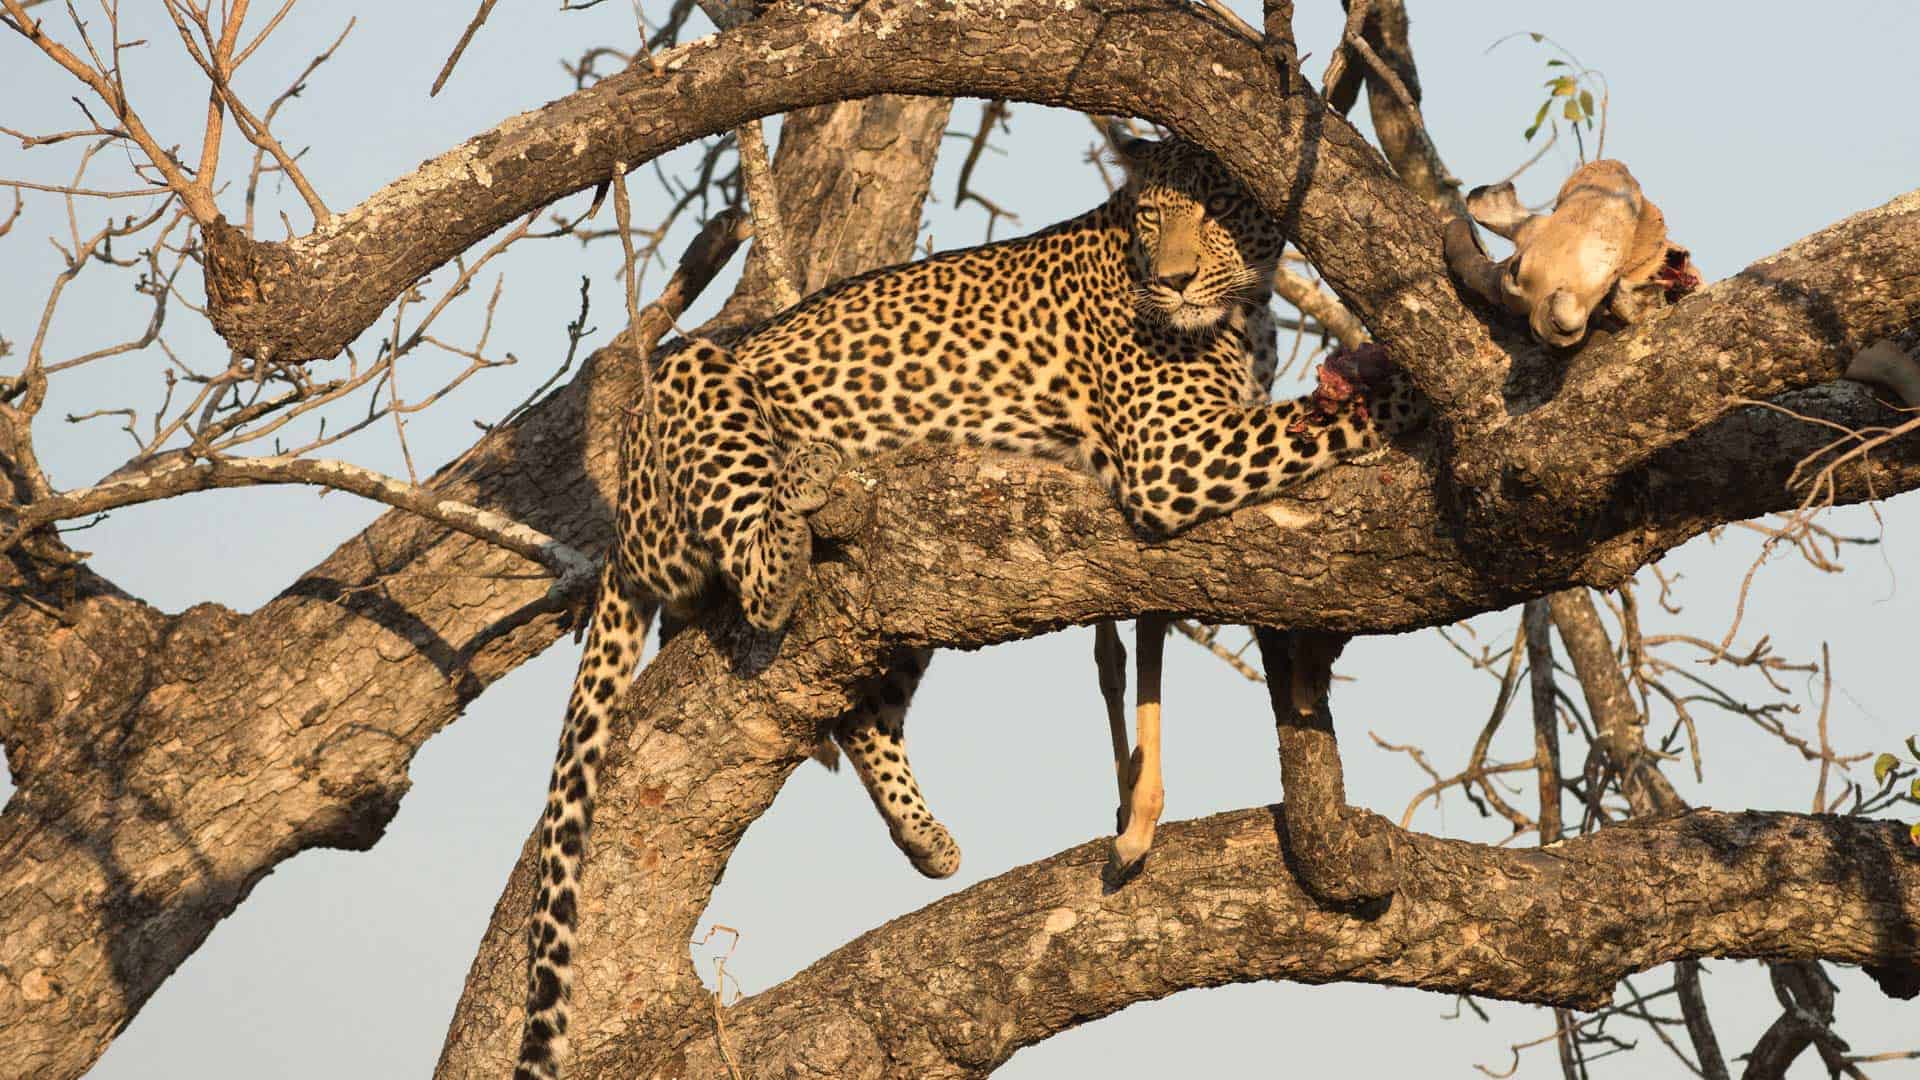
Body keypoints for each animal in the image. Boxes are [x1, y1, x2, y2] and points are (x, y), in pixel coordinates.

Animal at [515, 127, 1425, 1080]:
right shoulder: (1170, 458)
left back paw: (926, 836)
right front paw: (1428, 388)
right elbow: (1321, 421)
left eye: (1220, 211)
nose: (1174, 281)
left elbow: (1145, 644)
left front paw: (1137, 816)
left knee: (861, 713)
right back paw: (800, 486)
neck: (1241, 315)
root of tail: (624, 504)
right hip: (693, 383)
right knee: (760, 582)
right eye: (1153, 216)